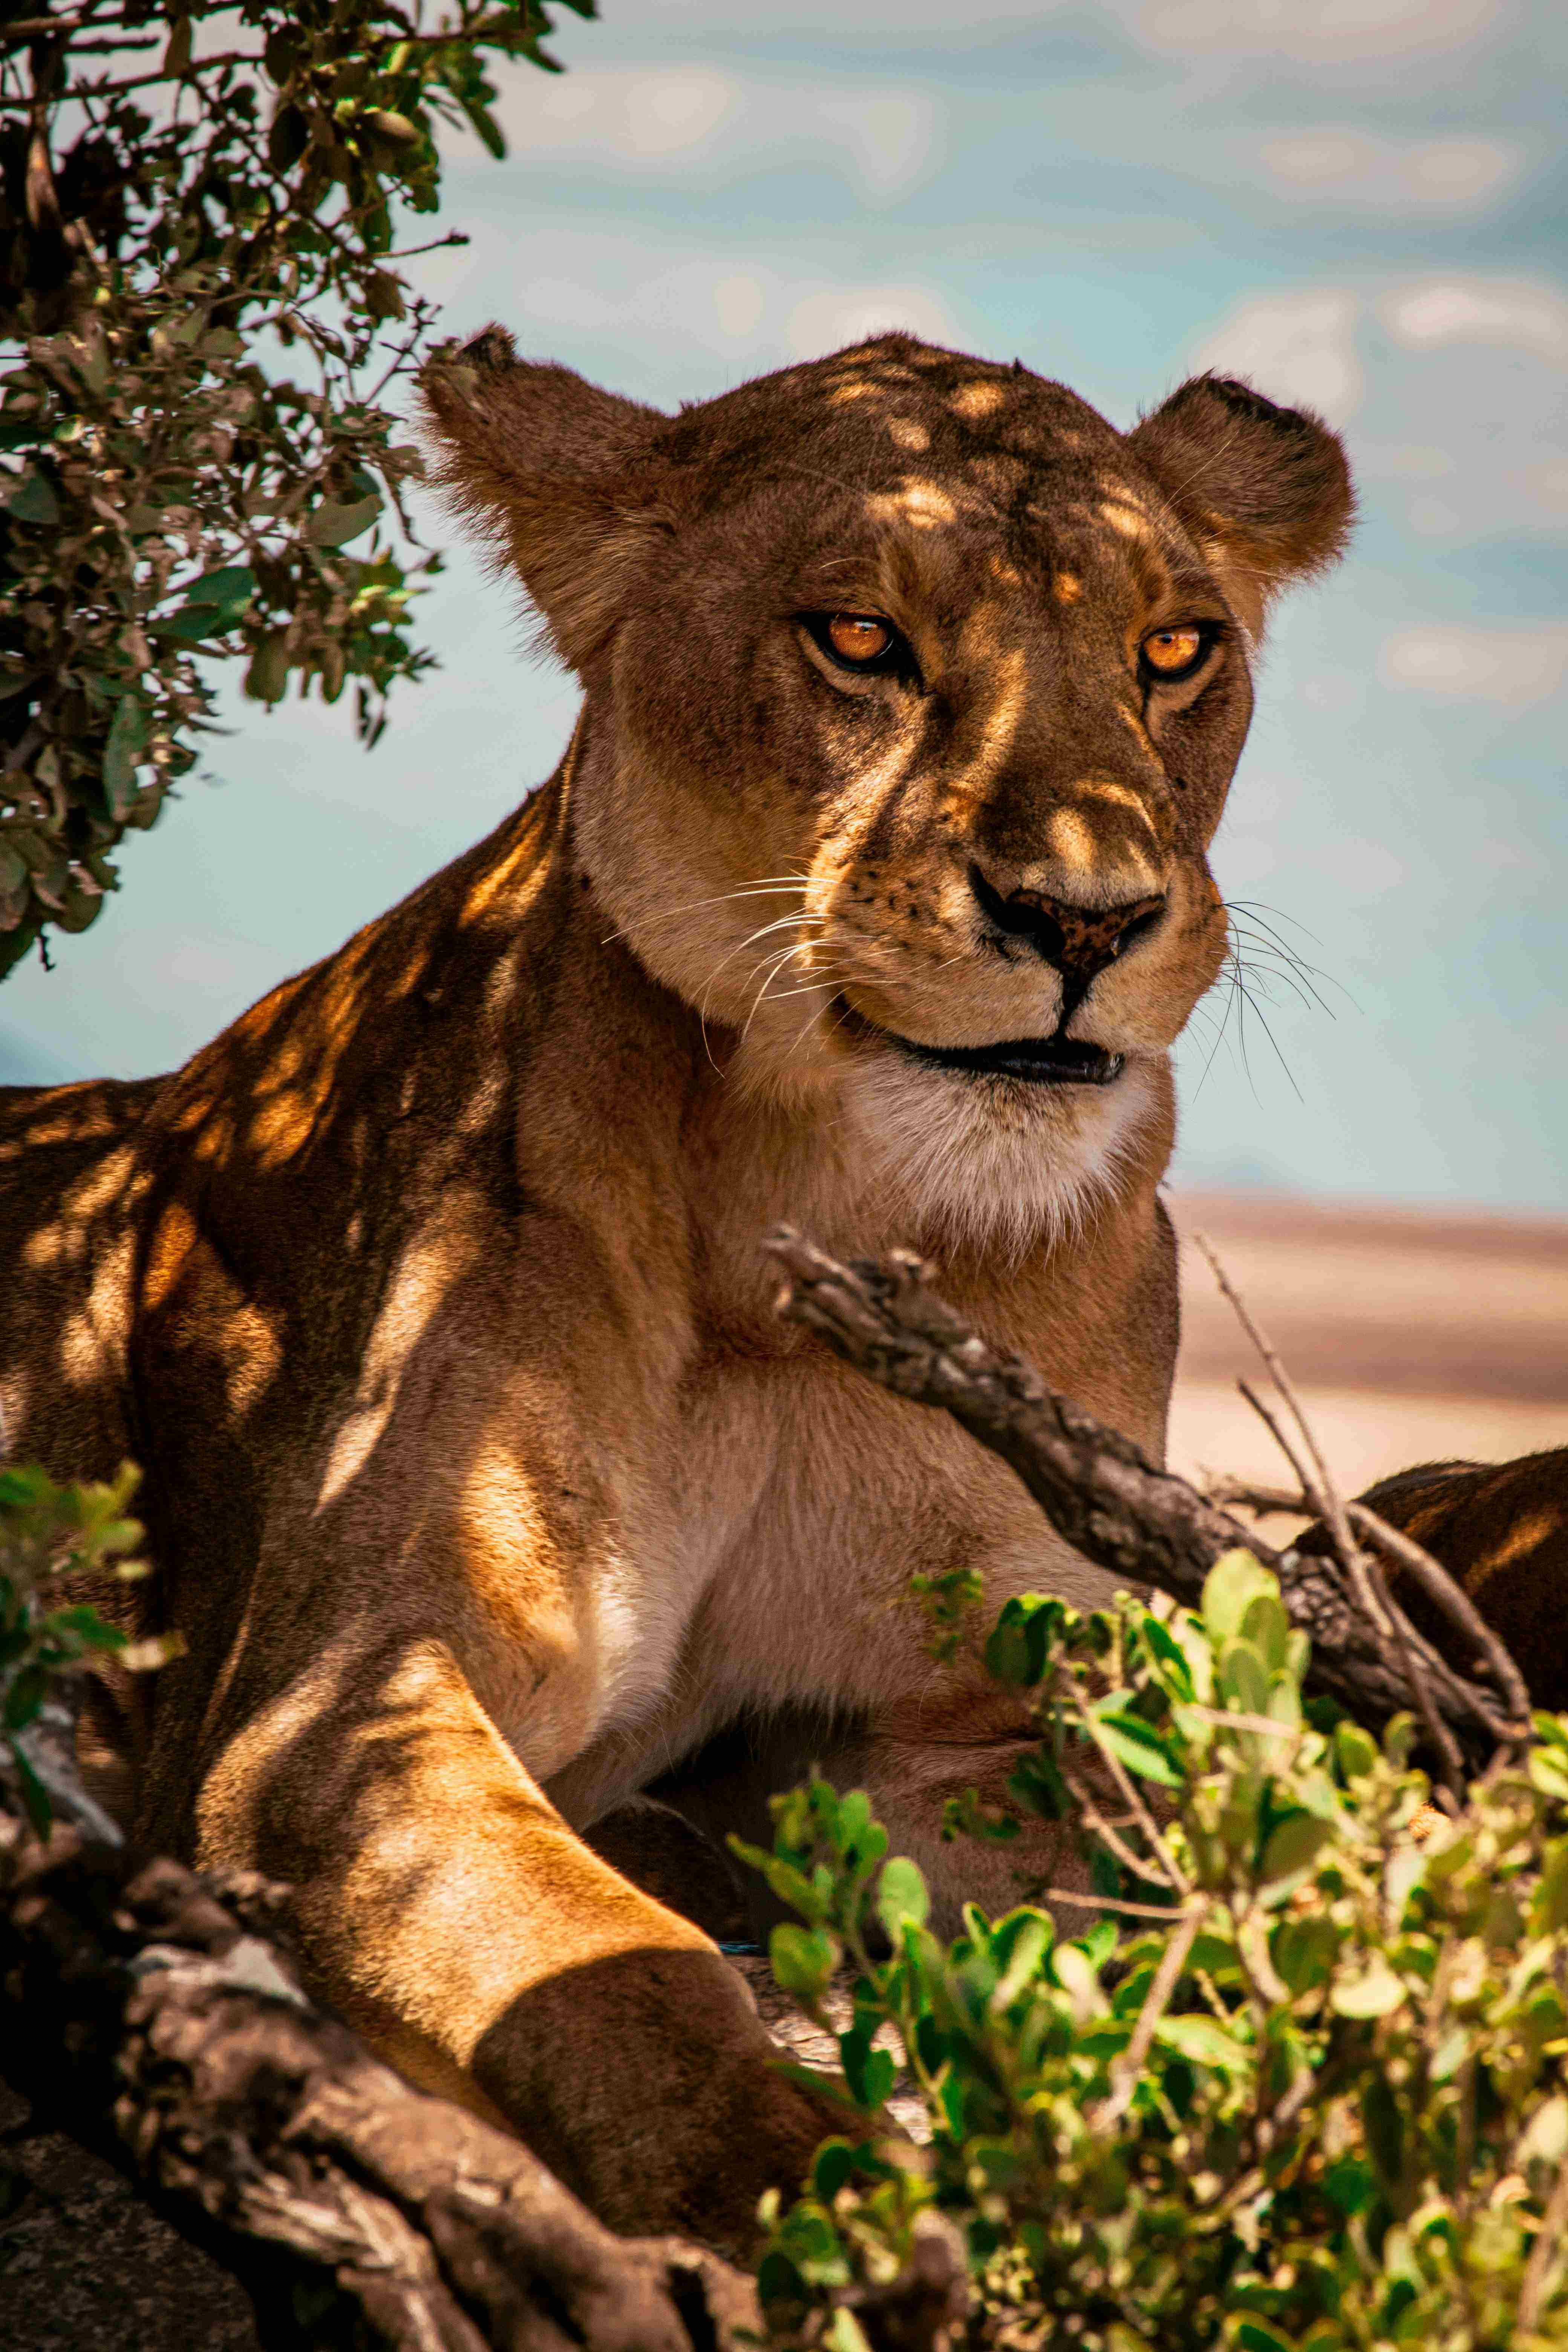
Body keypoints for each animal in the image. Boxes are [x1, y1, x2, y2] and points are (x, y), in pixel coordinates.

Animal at [0, 330, 1352, 2254]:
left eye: (1177, 651)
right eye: (859, 638)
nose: (1083, 922)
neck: (804, 1215)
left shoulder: (973, 1709)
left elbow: (1152, 1856)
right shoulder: (331, 1704)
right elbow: (609, 1965)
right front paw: (817, 2191)